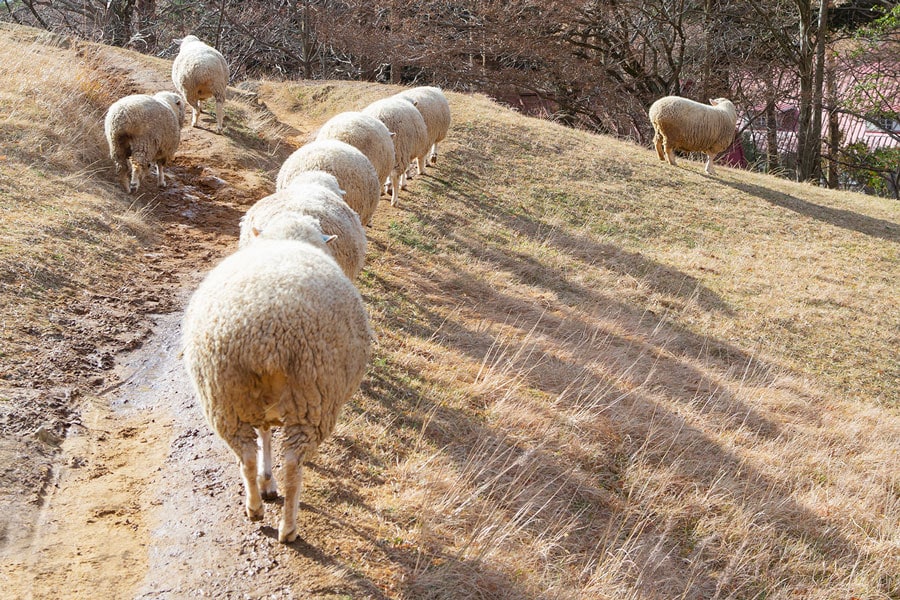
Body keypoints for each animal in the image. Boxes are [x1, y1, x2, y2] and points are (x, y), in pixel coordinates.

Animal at [183, 216, 372, 544]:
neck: (287, 237)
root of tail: (267, 334)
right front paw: (271, 483)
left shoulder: (259, 406)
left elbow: (265, 435)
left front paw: (267, 481)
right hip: (314, 397)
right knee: (294, 466)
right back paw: (288, 528)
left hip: (225, 397)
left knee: (246, 455)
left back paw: (254, 507)